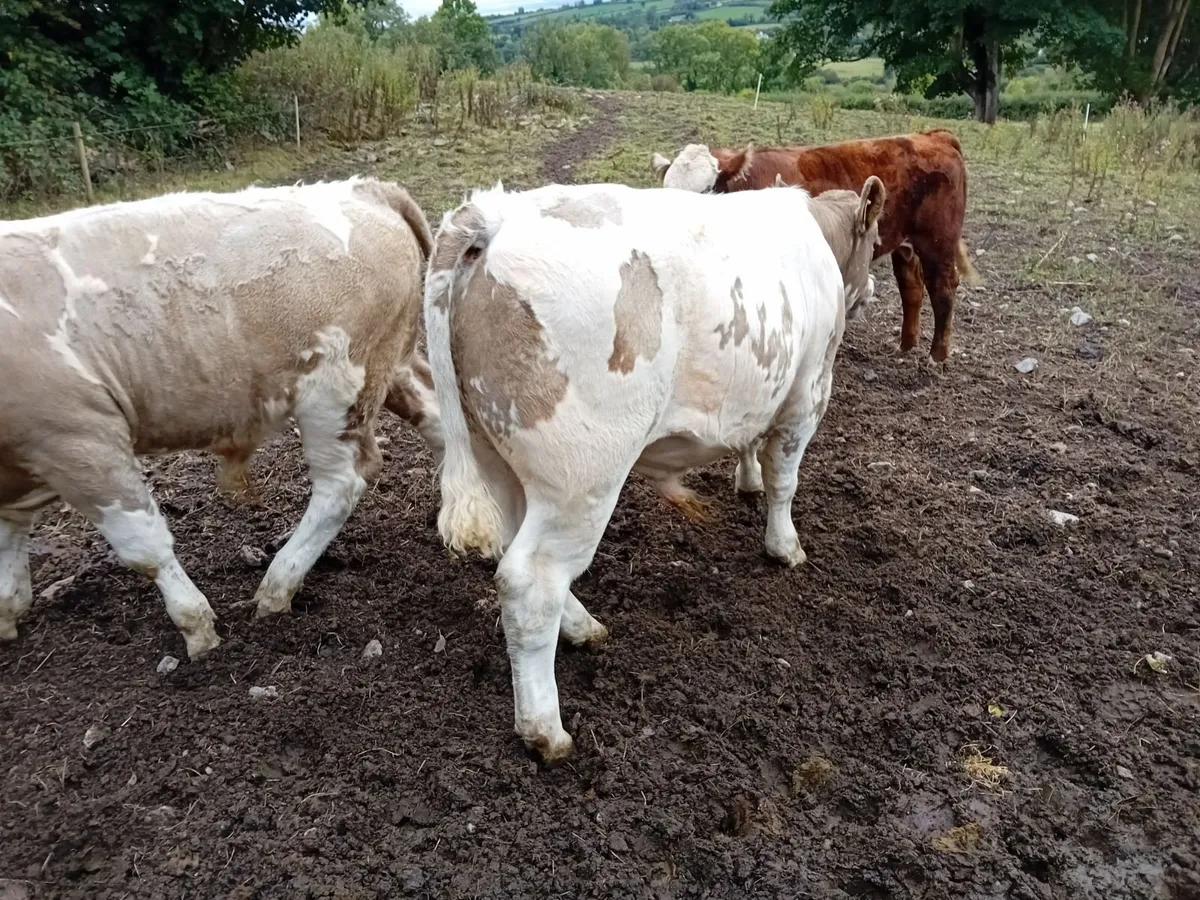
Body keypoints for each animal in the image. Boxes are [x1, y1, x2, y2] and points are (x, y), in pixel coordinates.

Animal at [0, 176, 440, 658]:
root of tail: (366, 189)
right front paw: (7, 614)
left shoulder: (79, 437)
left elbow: (144, 547)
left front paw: (197, 630)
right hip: (390, 365)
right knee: (438, 418)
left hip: (336, 387)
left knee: (342, 484)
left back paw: (277, 586)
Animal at [423, 176, 886, 760]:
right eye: (876, 240)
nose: (874, 286)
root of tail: (493, 213)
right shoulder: (808, 389)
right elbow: (785, 477)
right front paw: (785, 546)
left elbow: (752, 445)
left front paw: (747, 482)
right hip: (583, 476)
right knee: (531, 581)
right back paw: (545, 729)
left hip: (496, 455)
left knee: (517, 551)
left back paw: (584, 628)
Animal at [651, 129, 981, 363]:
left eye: (707, 190)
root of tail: (933, 136)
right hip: (905, 244)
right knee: (911, 287)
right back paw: (905, 347)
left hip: (938, 242)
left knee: (942, 288)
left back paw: (936, 357)